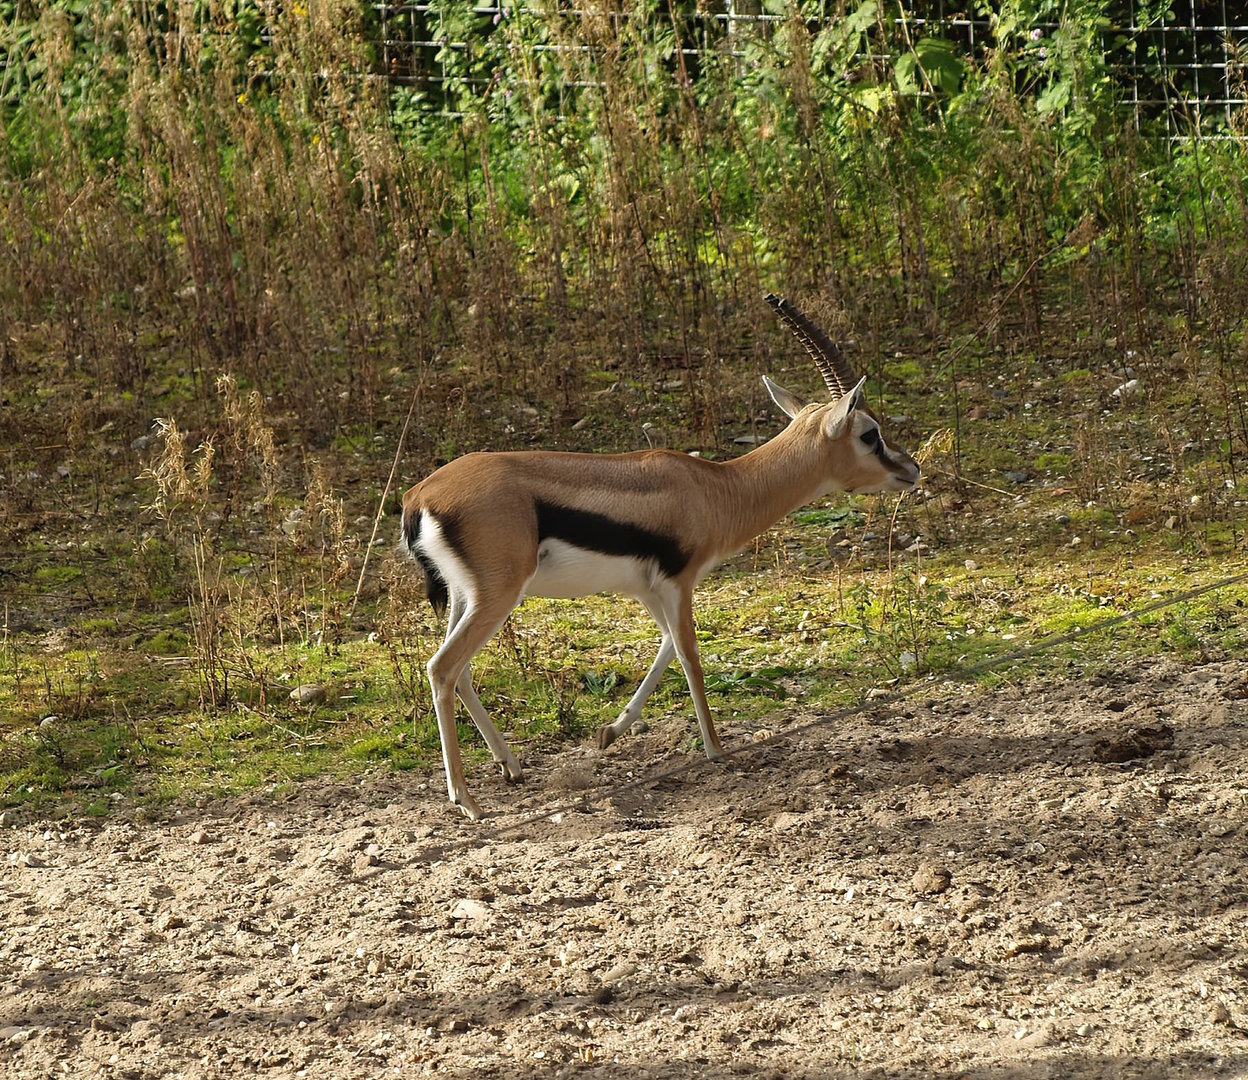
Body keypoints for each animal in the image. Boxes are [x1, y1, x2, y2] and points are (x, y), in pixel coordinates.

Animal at [400, 294, 920, 820]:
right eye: (870, 433)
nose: (911, 469)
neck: (715, 489)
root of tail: (418, 496)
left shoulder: (648, 589)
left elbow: (666, 646)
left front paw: (610, 732)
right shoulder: (678, 582)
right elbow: (690, 654)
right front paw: (716, 749)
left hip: (467, 596)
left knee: (460, 672)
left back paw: (510, 767)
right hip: (498, 595)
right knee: (442, 668)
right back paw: (467, 800)